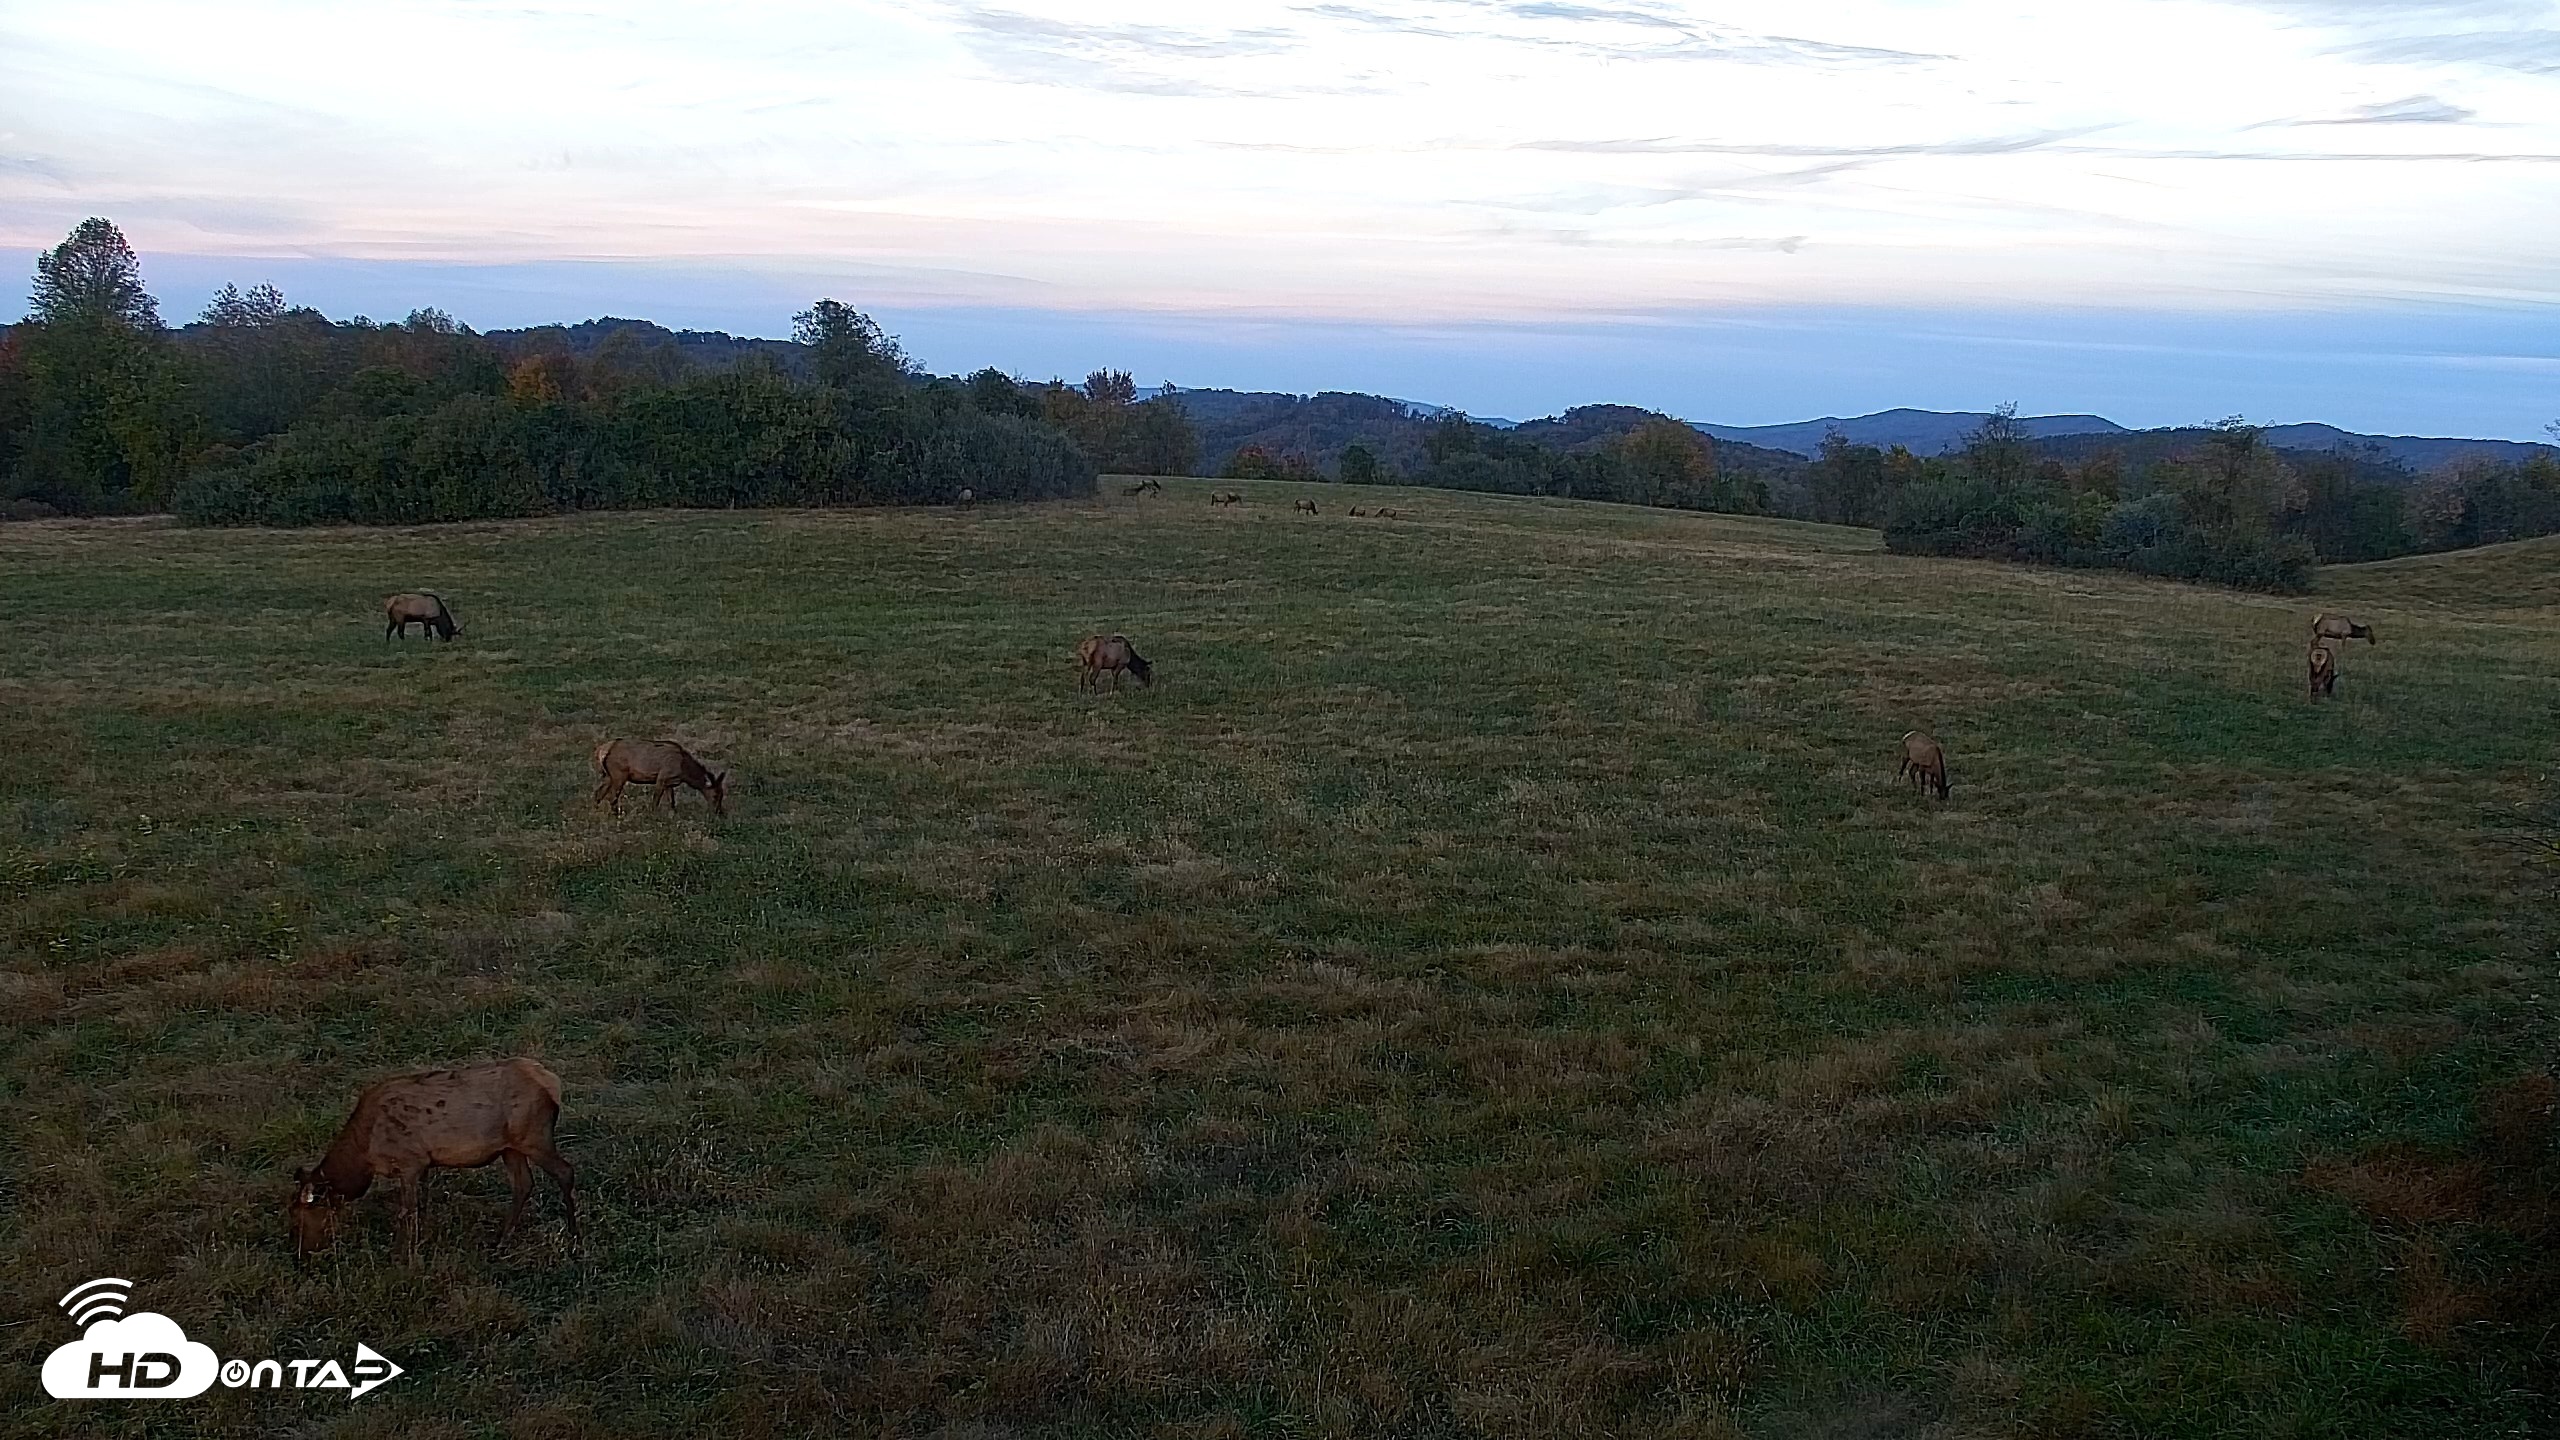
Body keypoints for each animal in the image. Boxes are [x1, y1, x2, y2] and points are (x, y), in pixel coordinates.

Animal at [288, 1058, 577, 1263]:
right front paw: (422, 1240)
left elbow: (407, 1211)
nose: (299, 1255)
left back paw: (573, 1237)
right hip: (511, 1147)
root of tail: (553, 1083)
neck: (364, 1154)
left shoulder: (409, 1162)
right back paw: (500, 1242)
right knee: (523, 1184)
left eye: (300, 1218)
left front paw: (401, 1253)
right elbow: (422, 1205)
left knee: (565, 1171)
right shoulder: (425, 1165)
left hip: (533, 1136)